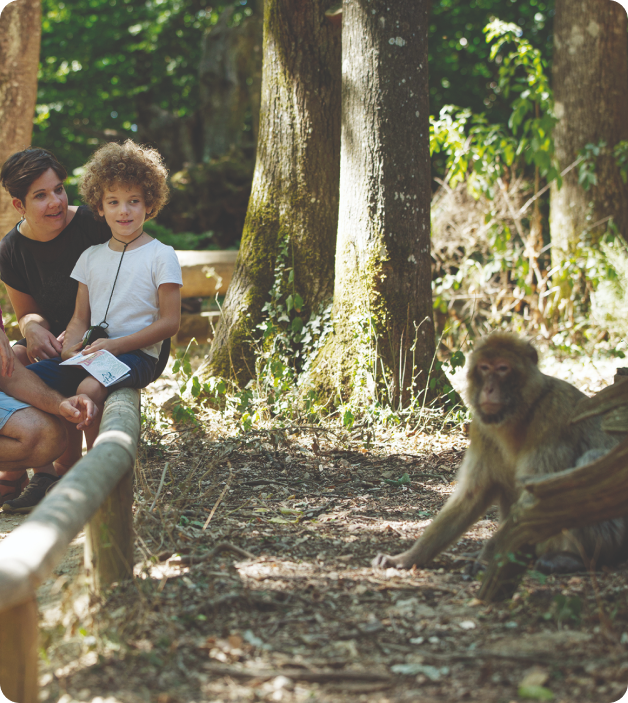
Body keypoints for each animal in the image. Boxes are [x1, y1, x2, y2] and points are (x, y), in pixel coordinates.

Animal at [370, 332, 624, 576]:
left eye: (503, 368)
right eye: (484, 367)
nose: (489, 389)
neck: (520, 414)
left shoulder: (552, 418)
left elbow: (538, 497)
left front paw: (488, 558)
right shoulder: (482, 429)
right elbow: (473, 495)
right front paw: (406, 558)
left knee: (589, 462)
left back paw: (574, 559)